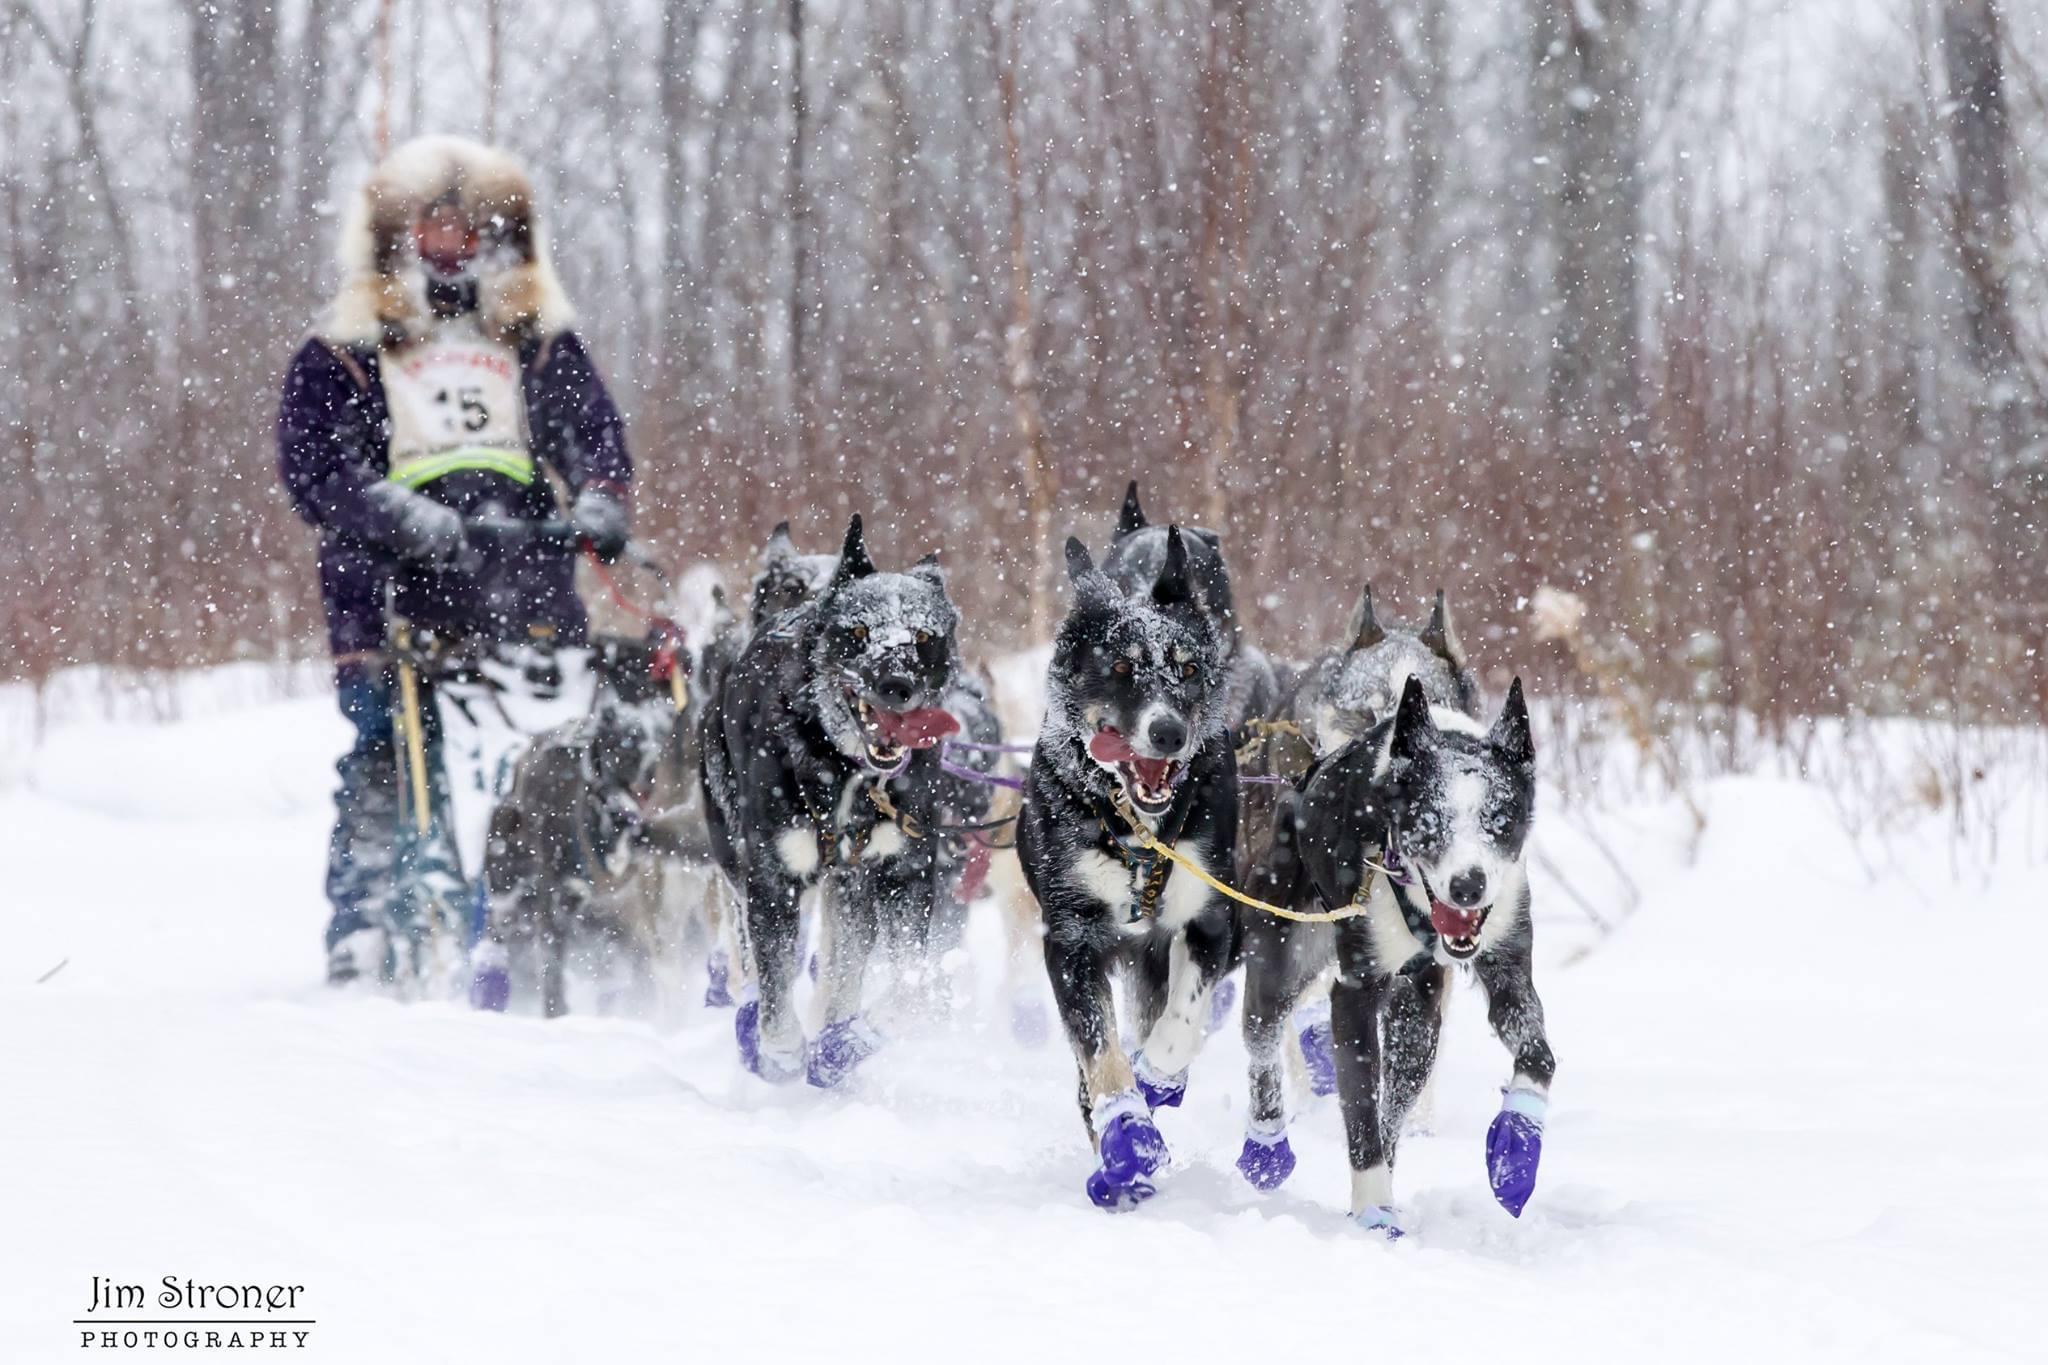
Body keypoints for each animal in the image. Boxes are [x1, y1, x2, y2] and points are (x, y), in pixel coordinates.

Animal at [699, 516, 962, 1086]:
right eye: (858, 633)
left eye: (923, 637)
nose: (896, 684)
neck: (844, 769)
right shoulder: (772, 879)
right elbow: (776, 987)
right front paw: (781, 1054)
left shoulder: (905, 874)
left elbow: (904, 982)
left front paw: (855, 1037)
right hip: (734, 857)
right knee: (748, 948)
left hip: (850, 885)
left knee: (844, 961)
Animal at [1017, 529, 1238, 1210]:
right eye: (1119, 667)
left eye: (1187, 669)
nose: (1167, 733)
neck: (1136, 834)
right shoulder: (1070, 940)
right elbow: (1101, 1052)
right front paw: (1126, 1127)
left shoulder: (1210, 922)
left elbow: (1180, 1027)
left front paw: (1158, 1075)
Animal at [1272, 673, 1553, 1235]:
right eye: (1429, 821)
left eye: (1500, 819)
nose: (1468, 886)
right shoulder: (1355, 991)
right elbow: (1360, 1105)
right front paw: (1373, 1210)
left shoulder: (1509, 970)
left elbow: (1538, 1054)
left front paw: (1516, 1146)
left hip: (1420, 1019)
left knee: (1399, 1096)